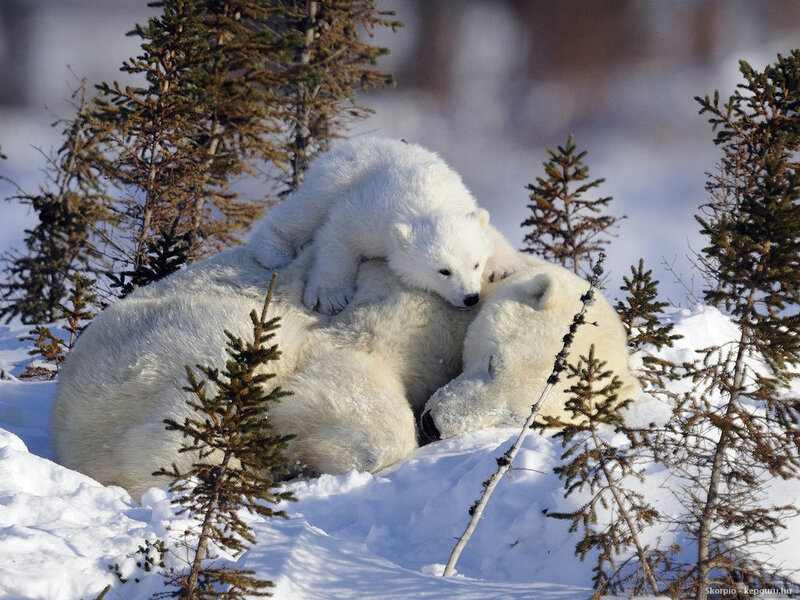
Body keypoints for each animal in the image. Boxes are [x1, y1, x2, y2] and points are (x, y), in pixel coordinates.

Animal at [246, 137, 524, 315]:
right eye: (443, 271)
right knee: (305, 211)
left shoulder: (462, 201)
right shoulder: (370, 214)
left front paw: (503, 266)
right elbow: (339, 233)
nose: (470, 298)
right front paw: (331, 297)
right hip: (335, 179)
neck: (428, 200)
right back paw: (273, 251)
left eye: (476, 264)